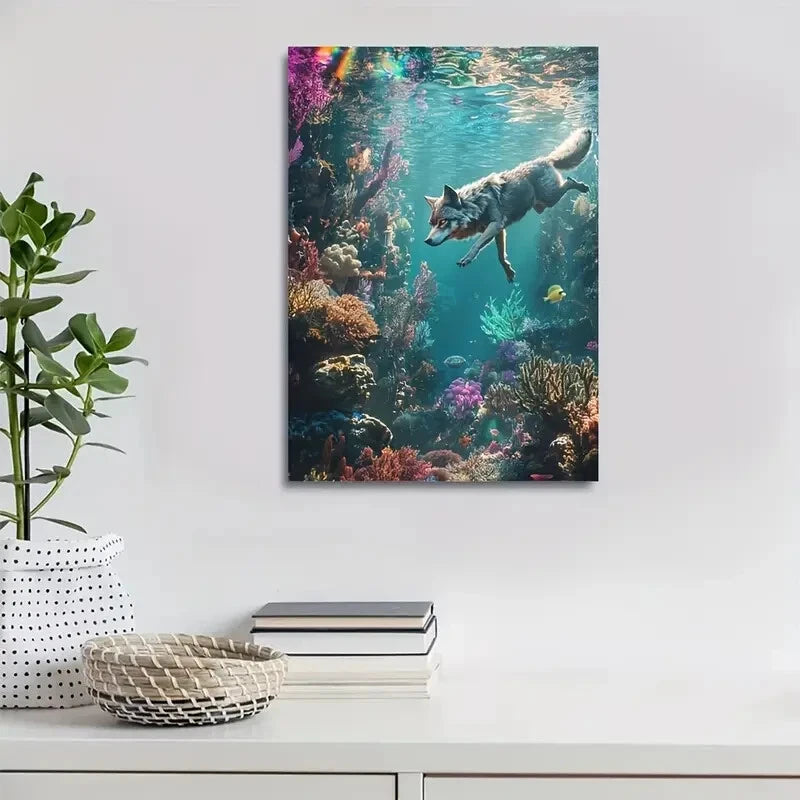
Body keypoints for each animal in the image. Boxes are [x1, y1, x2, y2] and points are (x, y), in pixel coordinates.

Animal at [423, 128, 593, 283]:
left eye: (443, 222)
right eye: (432, 224)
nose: (427, 241)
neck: (477, 204)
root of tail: (546, 159)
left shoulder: (496, 225)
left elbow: (476, 244)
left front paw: (467, 258)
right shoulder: (499, 230)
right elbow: (500, 255)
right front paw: (508, 271)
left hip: (550, 198)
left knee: (569, 182)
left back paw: (581, 186)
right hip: (541, 206)